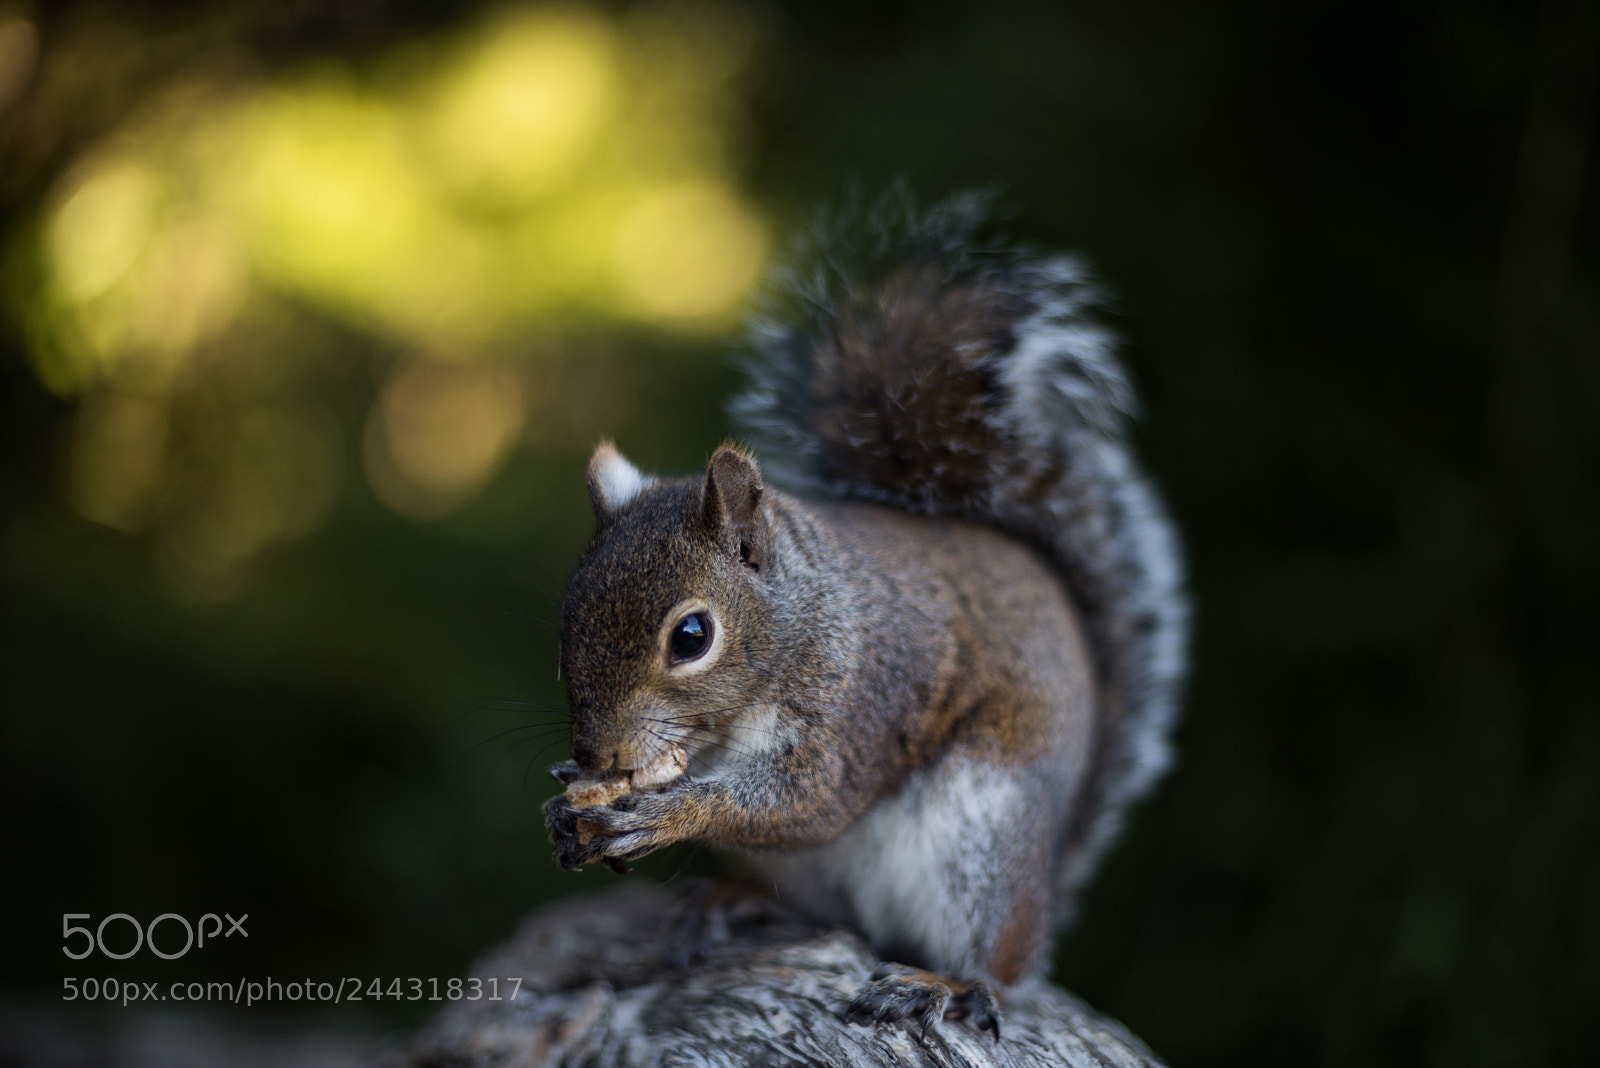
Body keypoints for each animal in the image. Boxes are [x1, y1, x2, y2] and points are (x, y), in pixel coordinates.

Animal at [542, 191, 1188, 1041]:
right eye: (567, 623)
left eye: (691, 636)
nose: (598, 752)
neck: (804, 617)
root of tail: (1050, 881)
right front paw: (568, 798)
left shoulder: (863, 701)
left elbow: (811, 799)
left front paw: (668, 812)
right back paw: (729, 900)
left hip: (986, 840)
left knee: (1000, 971)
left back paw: (940, 982)